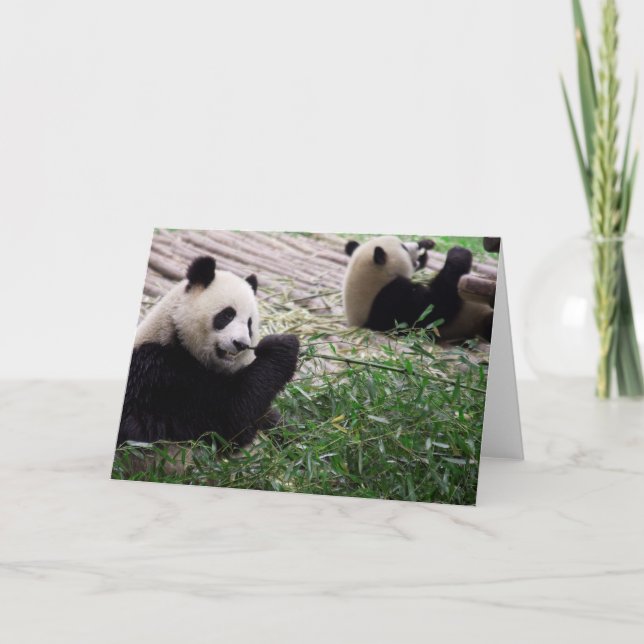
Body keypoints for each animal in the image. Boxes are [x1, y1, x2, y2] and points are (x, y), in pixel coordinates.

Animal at [117, 255, 300, 448]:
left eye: (250, 324)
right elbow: (232, 413)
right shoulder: (162, 376)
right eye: (227, 315)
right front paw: (281, 346)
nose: (241, 344)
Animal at [342, 235, 493, 341]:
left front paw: (425, 246)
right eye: (403, 247)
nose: (416, 245)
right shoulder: (389, 301)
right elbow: (433, 310)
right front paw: (458, 254)